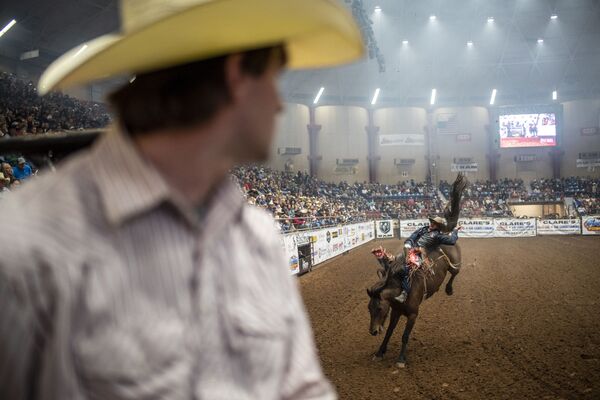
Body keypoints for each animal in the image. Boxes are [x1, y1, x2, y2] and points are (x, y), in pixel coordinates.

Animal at [366, 173, 468, 368]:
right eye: (369, 308)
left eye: (380, 308)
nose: (373, 332)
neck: (400, 288)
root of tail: (447, 233)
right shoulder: (396, 311)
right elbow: (390, 331)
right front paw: (380, 352)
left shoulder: (413, 315)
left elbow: (405, 336)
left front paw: (401, 359)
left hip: (456, 262)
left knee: (455, 273)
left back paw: (449, 289)